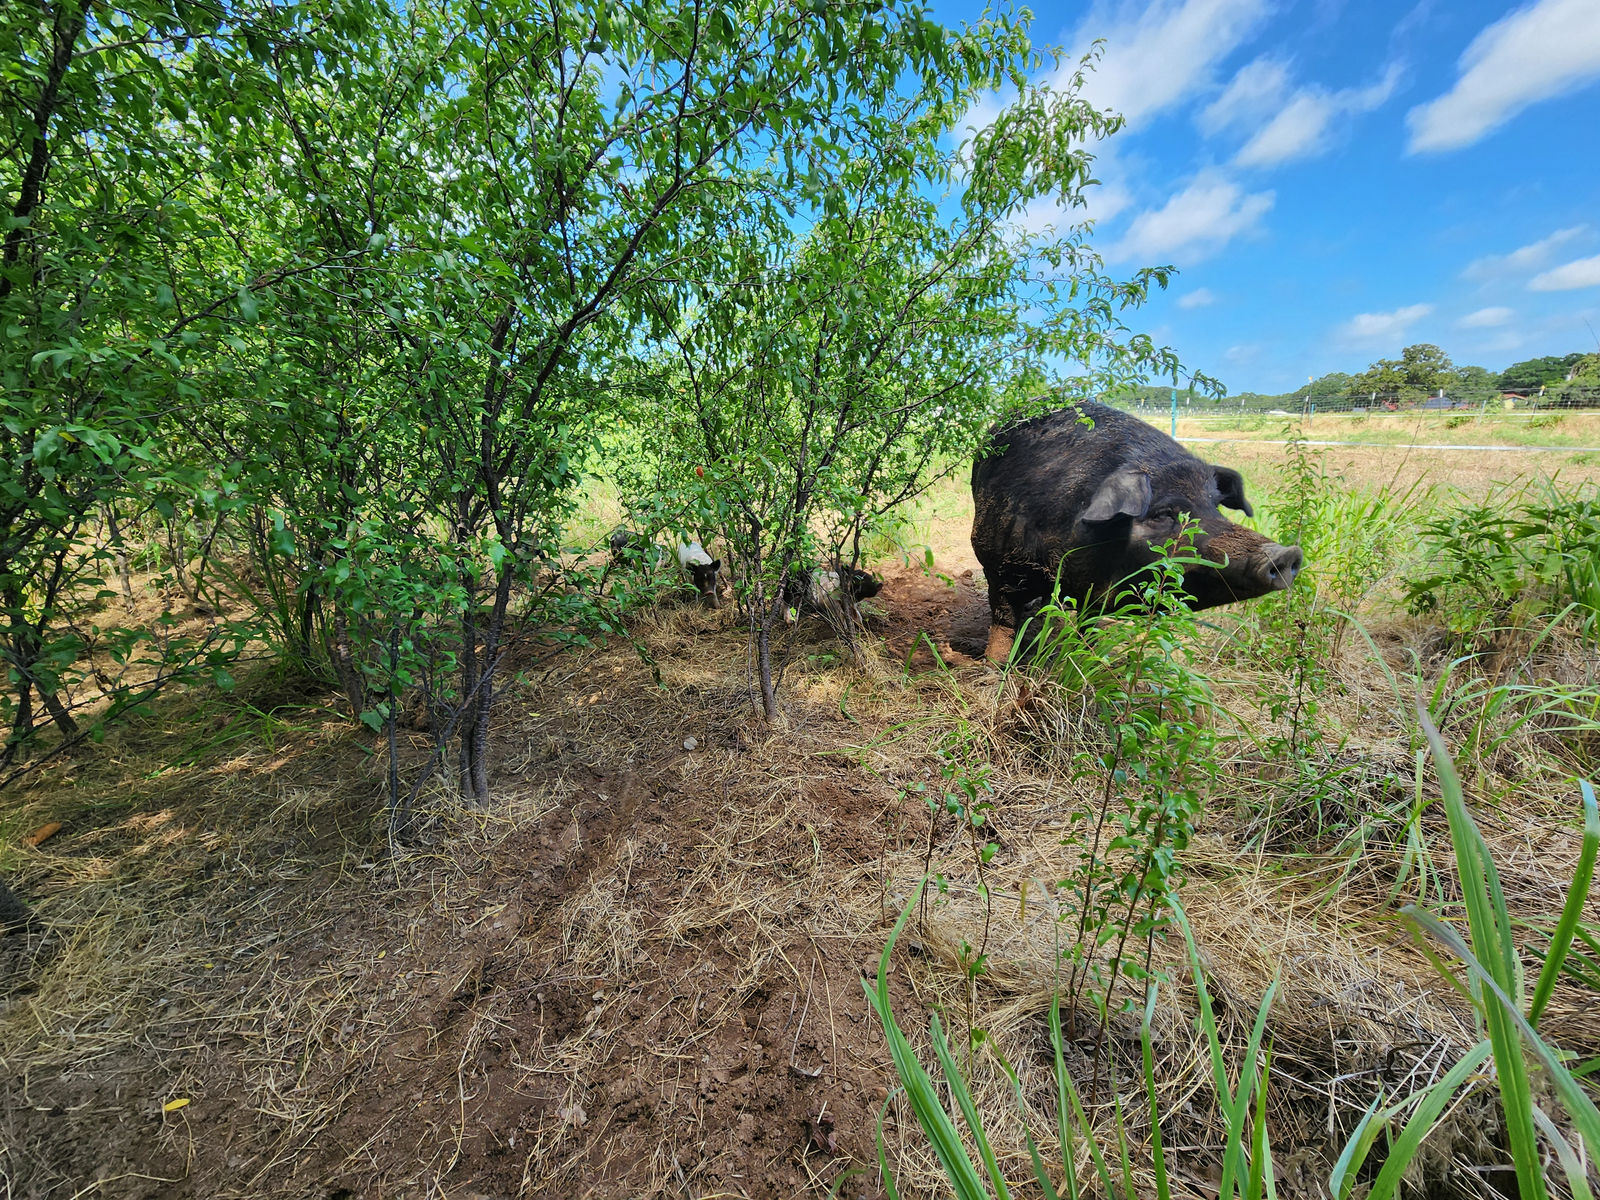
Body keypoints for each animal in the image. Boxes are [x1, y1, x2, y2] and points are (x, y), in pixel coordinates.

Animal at [971, 402, 1302, 651]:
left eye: (1215, 506)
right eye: (1163, 513)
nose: (1286, 553)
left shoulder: (1092, 594)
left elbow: (1088, 628)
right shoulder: (996, 563)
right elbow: (1002, 623)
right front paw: (994, 667)